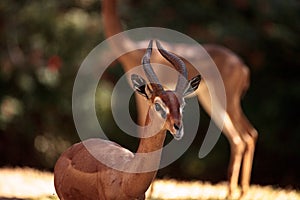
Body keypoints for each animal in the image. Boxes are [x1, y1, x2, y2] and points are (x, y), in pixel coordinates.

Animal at [101, 0, 258, 198]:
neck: (131, 50)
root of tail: (243, 68)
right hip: (211, 101)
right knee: (242, 136)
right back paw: (239, 191)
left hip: (228, 101)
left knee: (246, 135)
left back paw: (234, 192)